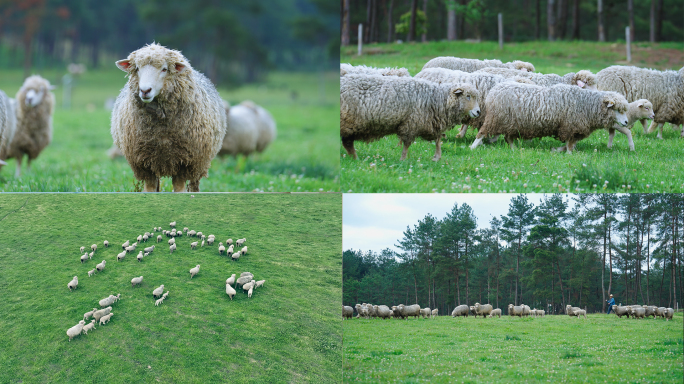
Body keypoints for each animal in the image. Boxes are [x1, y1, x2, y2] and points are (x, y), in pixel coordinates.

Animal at [111, 43, 226, 192]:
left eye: (164, 69)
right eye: (137, 68)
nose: (145, 91)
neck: (162, 130)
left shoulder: (185, 162)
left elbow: (179, 188)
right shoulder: (144, 162)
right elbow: (150, 188)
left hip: (199, 163)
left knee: (194, 183)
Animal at [340, 74, 478, 161]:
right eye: (468, 96)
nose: (478, 112)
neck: (437, 99)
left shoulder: (431, 123)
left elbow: (438, 139)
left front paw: (437, 157)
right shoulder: (411, 123)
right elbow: (406, 144)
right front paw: (403, 159)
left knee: (347, 142)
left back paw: (354, 158)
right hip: (348, 123)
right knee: (348, 142)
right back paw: (355, 158)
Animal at [470, 82, 632, 152]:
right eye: (617, 109)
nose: (626, 122)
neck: (588, 105)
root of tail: (493, 91)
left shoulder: (575, 129)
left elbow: (570, 143)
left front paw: (559, 149)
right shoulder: (570, 126)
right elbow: (570, 144)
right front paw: (569, 153)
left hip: (511, 123)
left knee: (508, 137)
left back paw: (514, 149)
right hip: (496, 118)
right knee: (482, 133)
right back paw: (473, 147)